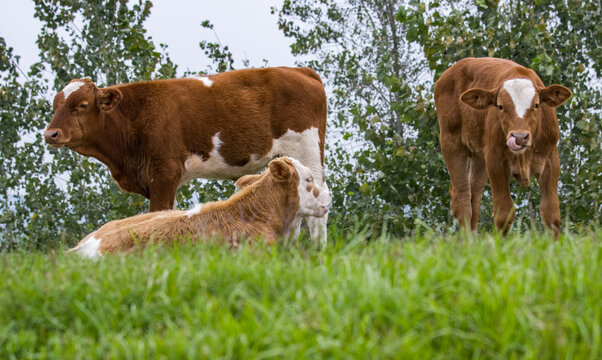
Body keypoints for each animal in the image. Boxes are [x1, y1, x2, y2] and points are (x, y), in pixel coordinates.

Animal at [43, 67, 328, 245]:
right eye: (55, 105)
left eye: (82, 105)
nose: (51, 133)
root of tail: (299, 70)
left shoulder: (164, 174)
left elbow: (157, 213)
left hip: (308, 150)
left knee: (321, 203)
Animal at [434, 57, 568, 235]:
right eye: (500, 106)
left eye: (537, 105)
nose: (519, 137)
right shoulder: (495, 162)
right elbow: (504, 213)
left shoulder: (551, 161)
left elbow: (551, 213)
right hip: (451, 142)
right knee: (462, 199)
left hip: (478, 157)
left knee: (474, 196)